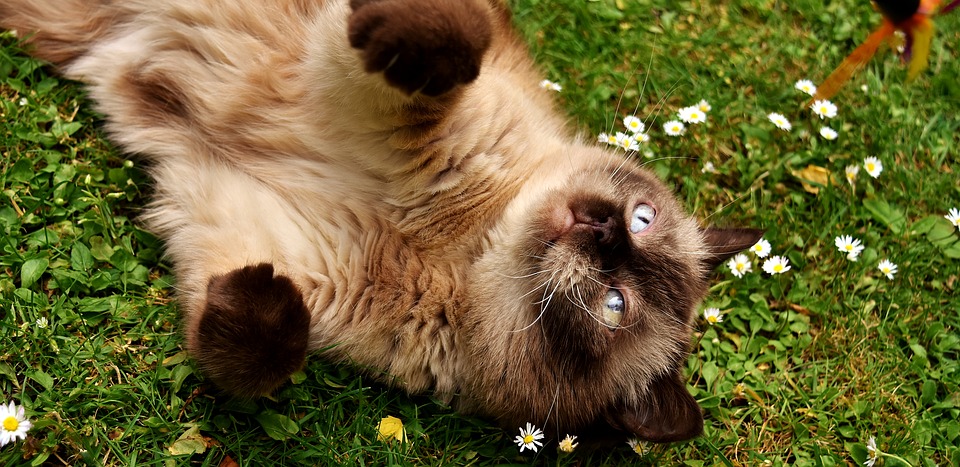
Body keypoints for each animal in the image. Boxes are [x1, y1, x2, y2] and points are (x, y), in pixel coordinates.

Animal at [1, 0, 764, 448]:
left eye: (614, 305)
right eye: (642, 218)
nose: (602, 228)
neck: (463, 247)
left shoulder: (235, 222)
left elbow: (265, 346)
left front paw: (260, 308)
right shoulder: (394, 103)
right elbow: (446, 46)